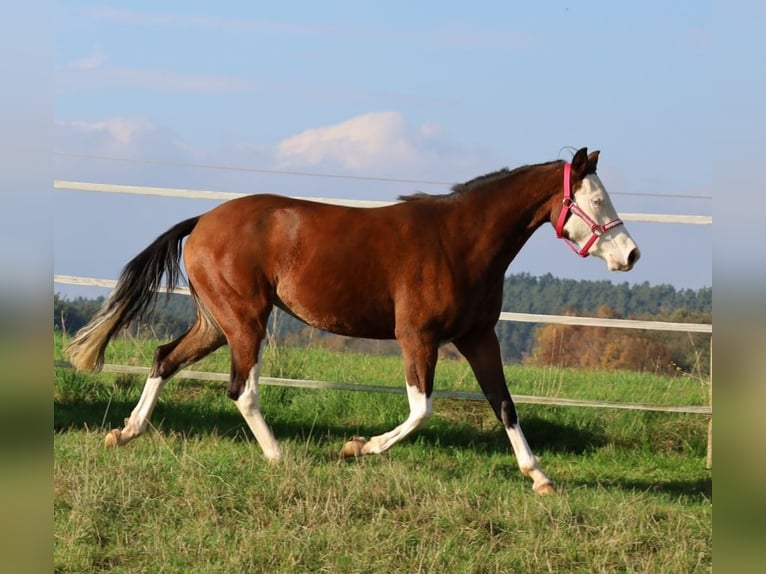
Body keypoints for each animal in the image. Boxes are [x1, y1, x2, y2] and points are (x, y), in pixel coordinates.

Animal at [66, 148, 640, 496]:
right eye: (594, 198)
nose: (631, 254)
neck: (460, 241)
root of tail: (202, 220)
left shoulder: (478, 337)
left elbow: (504, 404)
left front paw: (539, 476)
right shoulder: (417, 337)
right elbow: (421, 410)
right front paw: (356, 448)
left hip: (216, 323)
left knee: (164, 358)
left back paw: (125, 432)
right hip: (246, 321)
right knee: (241, 389)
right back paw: (280, 456)